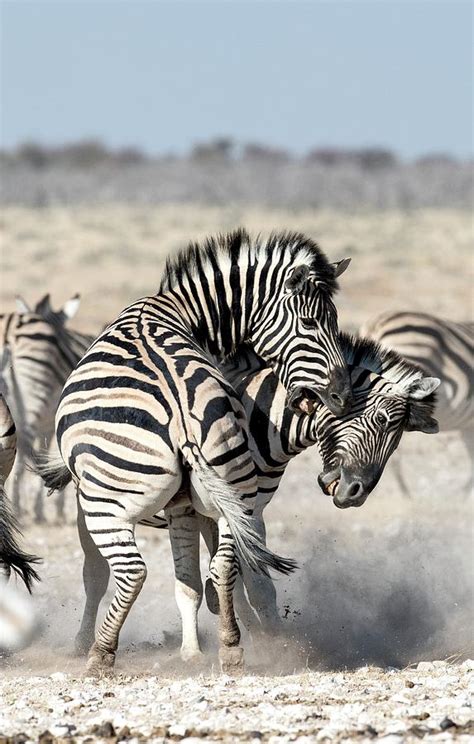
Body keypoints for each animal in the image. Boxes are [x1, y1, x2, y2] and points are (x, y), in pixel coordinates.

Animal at [39, 227, 352, 676]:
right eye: (311, 323)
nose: (344, 396)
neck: (179, 310)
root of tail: (183, 419)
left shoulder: (87, 497)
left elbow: (95, 574)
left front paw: (80, 644)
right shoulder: (191, 503)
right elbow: (195, 580)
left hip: (106, 504)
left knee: (131, 571)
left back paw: (101, 654)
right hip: (235, 486)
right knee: (223, 564)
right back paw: (232, 647)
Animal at [72, 334, 438, 660]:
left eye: (398, 440)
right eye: (380, 419)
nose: (354, 494)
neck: (260, 420)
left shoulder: (253, 509)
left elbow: (257, 583)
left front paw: (271, 637)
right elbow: (245, 579)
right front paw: (270, 641)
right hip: (92, 504)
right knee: (95, 574)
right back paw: (82, 643)